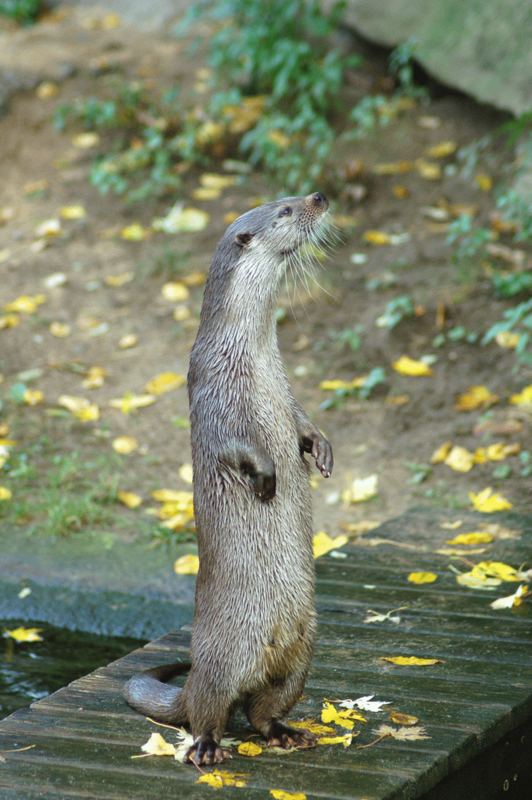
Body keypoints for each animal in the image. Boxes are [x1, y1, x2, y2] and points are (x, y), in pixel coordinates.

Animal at [124, 191, 332, 764]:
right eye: (285, 210)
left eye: (295, 198)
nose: (319, 196)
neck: (253, 353)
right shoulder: (214, 394)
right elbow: (233, 446)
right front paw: (266, 477)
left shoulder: (287, 390)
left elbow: (303, 423)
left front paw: (321, 449)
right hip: (221, 657)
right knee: (209, 708)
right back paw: (206, 748)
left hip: (303, 650)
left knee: (262, 709)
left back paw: (286, 732)